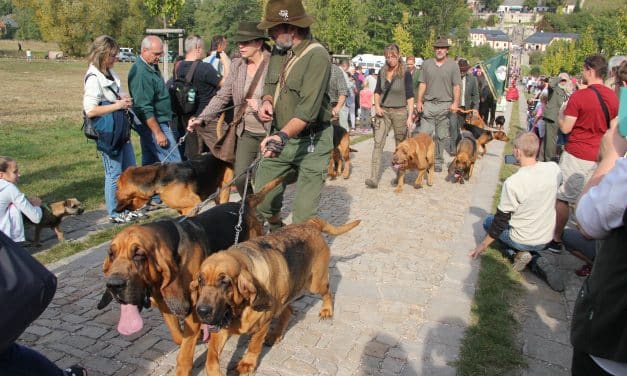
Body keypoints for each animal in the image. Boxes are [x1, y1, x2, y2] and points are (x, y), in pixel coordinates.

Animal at [98, 177, 282, 376]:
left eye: (138, 254)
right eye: (111, 254)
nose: (113, 285)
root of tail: (243, 203)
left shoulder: (193, 309)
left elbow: (184, 354)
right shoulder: (166, 304)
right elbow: (178, 337)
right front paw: (200, 335)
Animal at [189, 216, 360, 374]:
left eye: (225, 282)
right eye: (200, 280)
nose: (202, 311)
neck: (240, 309)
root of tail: (310, 223)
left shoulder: (263, 324)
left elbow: (254, 345)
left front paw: (247, 363)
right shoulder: (219, 329)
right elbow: (211, 359)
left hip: (316, 283)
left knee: (327, 291)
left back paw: (326, 310)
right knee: (288, 310)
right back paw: (276, 334)